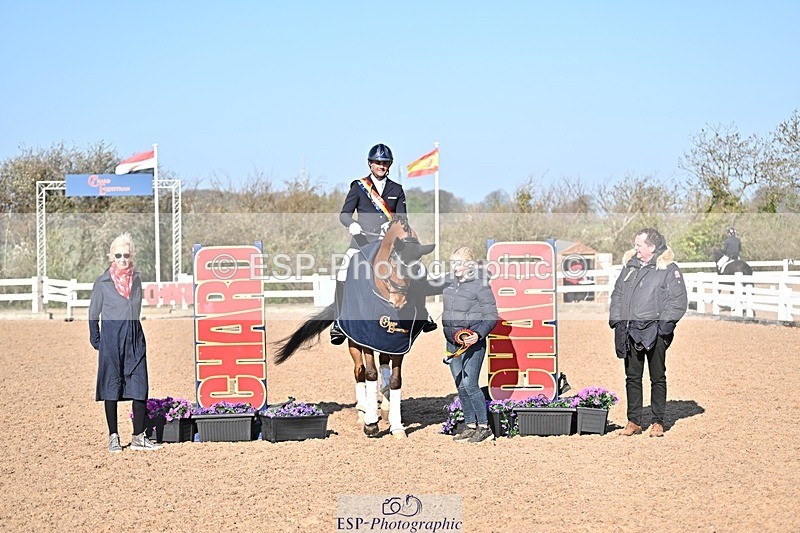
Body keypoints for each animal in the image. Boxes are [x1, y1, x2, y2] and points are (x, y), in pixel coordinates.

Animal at [273, 218, 435, 439]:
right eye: (393, 262)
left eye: (417, 269)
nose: (398, 302)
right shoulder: (365, 338)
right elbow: (370, 374)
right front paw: (371, 424)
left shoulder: (398, 343)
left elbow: (395, 380)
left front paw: (397, 426)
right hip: (353, 342)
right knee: (359, 371)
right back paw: (363, 411)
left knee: (383, 367)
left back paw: (384, 407)